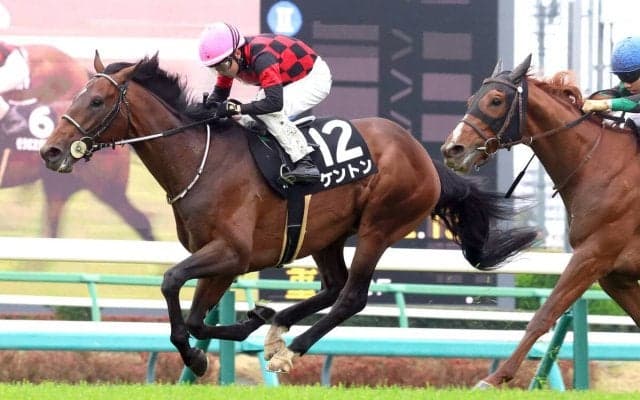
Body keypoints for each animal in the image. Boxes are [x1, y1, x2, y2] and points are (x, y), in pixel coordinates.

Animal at [40, 51, 536, 377]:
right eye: (77, 96)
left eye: (97, 101)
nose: (51, 151)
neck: (202, 160)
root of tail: (424, 156)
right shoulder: (221, 261)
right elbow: (197, 316)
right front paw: (242, 325)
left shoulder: (232, 253)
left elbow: (171, 283)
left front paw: (202, 352)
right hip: (326, 235)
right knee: (333, 285)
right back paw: (277, 326)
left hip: (379, 226)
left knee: (352, 296)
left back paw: (291, 347)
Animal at [441, 54, 640, 387]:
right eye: (471, 100)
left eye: (496, 100)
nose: (452, 150)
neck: (603, 166)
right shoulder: (615, 273)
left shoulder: (593, 254)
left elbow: (544, 314)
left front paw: (495, 378)